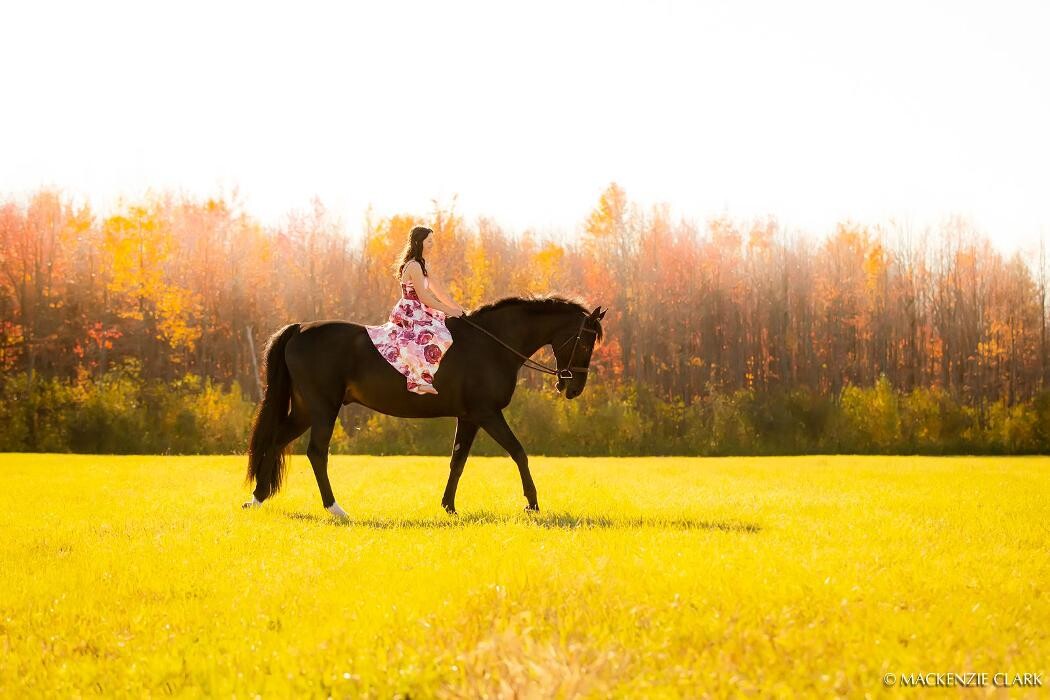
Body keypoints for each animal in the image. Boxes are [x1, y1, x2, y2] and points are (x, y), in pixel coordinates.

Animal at [240, 293, 609, 518]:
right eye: (585, 341)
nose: (573, 386)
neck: (492, 344)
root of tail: (300, 328)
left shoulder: (469, 417)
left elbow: (457, 461)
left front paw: (448, 506)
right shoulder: (487, 413)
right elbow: (518, 452)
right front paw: (532, 503)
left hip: (305, 410)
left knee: (275, 441)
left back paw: (258, 497)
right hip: (322, 410)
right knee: (316, 453)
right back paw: (335, 508)